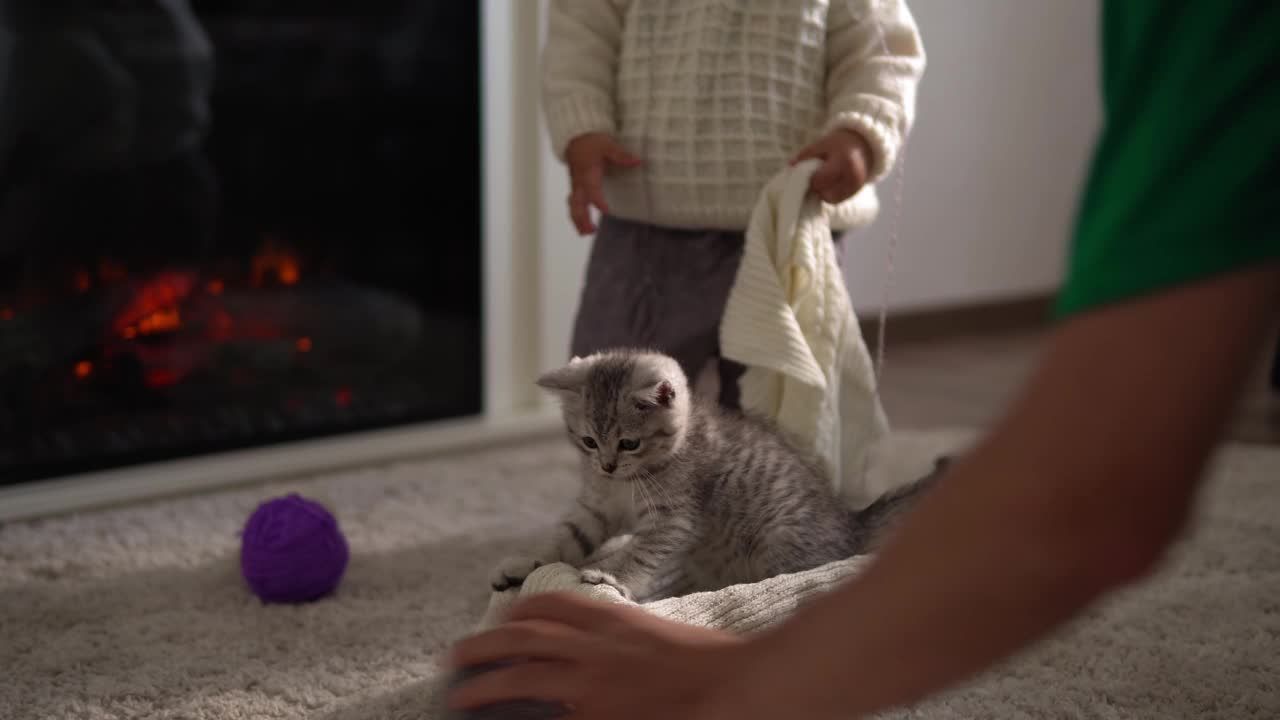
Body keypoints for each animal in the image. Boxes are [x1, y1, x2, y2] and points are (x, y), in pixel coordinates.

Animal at [488, 348, 942, 599]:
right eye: (588, 441)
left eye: (629, 443)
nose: (607, 466)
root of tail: (850, 521)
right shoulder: (596, 506)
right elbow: (566, 538)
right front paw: (528, 562)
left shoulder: (674, 519)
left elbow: (642, 551)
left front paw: (610, 577)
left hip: (778, 542)